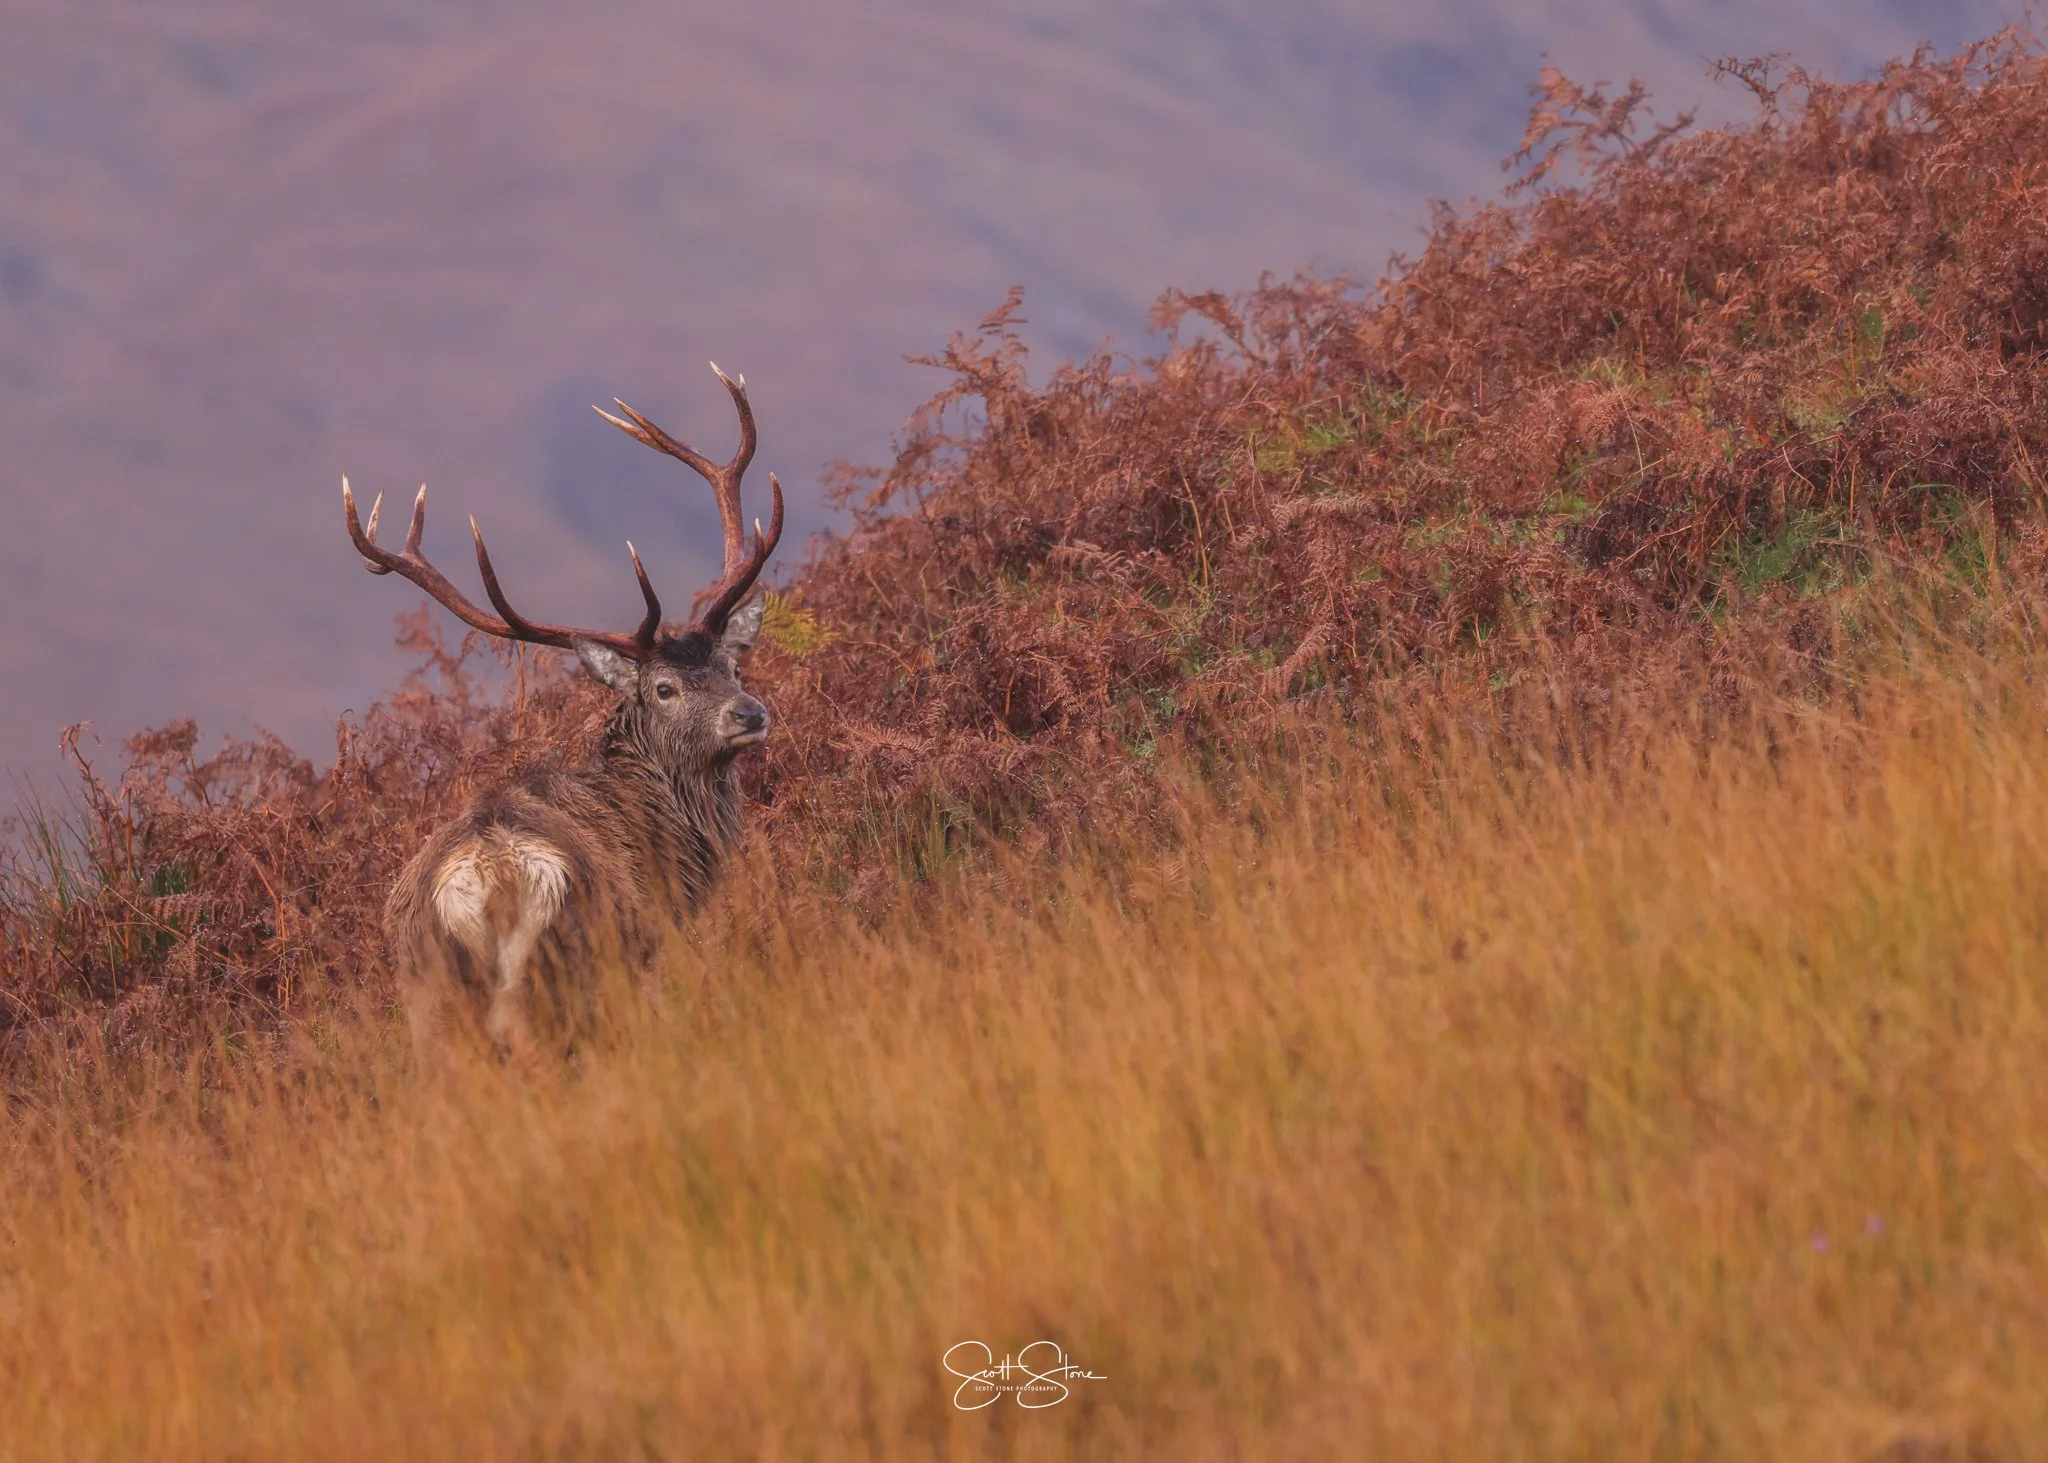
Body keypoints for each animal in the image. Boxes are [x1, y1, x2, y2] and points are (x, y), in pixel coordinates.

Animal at [342, 364, 784, 1063]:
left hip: (427, 991)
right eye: (663, 688)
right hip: (574, 964)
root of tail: (493, 878)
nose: (748, 714)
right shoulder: (646, 948)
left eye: (733, 667)